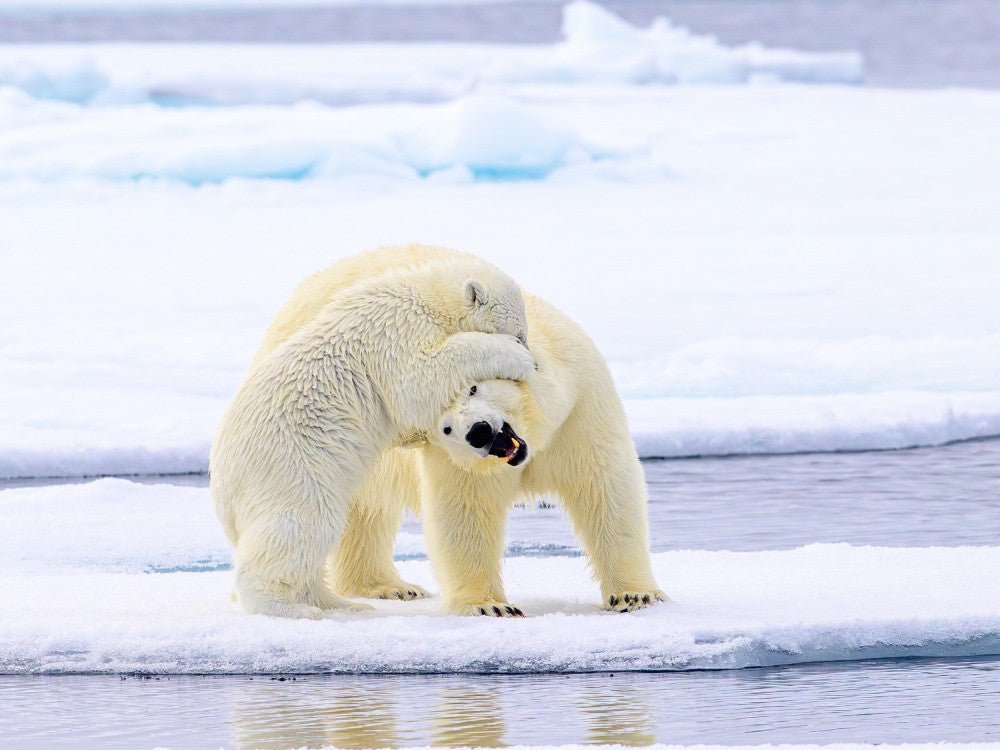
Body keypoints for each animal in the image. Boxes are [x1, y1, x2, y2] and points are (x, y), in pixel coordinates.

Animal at [210, 251, 535, 619]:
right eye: (519, 332)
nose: (528, 347)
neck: (425, 295)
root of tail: (222, 491)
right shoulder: (396, 336)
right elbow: (422, 379)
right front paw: (516, 358)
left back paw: (343, 604)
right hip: (289, 469)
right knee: (302, 526)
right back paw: (292, 608)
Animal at [256, 244, 667, 615]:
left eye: (473, 388)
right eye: (442, 424)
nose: (479, 432)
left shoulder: (579, 408)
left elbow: (604, 486)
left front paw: (635, 595)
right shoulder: (453, 456)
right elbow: (465, 509)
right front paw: (489, 605)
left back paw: (389, 586)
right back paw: (383, 587)